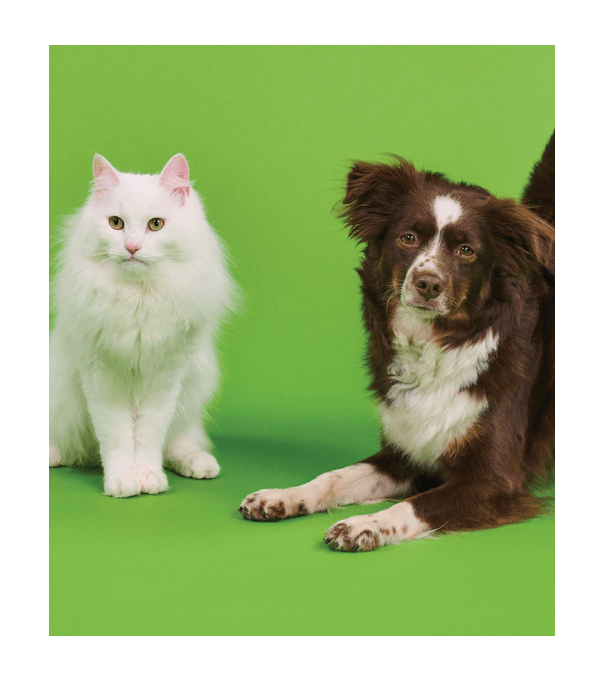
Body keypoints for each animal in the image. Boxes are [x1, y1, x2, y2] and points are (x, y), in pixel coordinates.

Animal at [49, 153, 235, 498]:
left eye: (156, 225)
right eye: (116, 223)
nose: (132, 247)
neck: (138, 298)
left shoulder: (166, 378)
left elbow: (149, 437)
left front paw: (149, 478)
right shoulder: (102, 376)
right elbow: (117, 436)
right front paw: (123, 481)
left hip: (194, 387)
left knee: (179, 442)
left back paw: (200, 465)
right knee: (69, 444)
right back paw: (53, 455)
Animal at [239, 133, 552, 552]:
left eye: (466, 250)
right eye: (408, 237)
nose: (428, 283)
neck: (433, 346)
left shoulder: (492, 481)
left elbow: (419, 504)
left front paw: (364, 524)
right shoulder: (405, 453)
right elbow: (335, 476)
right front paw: (283, 495)